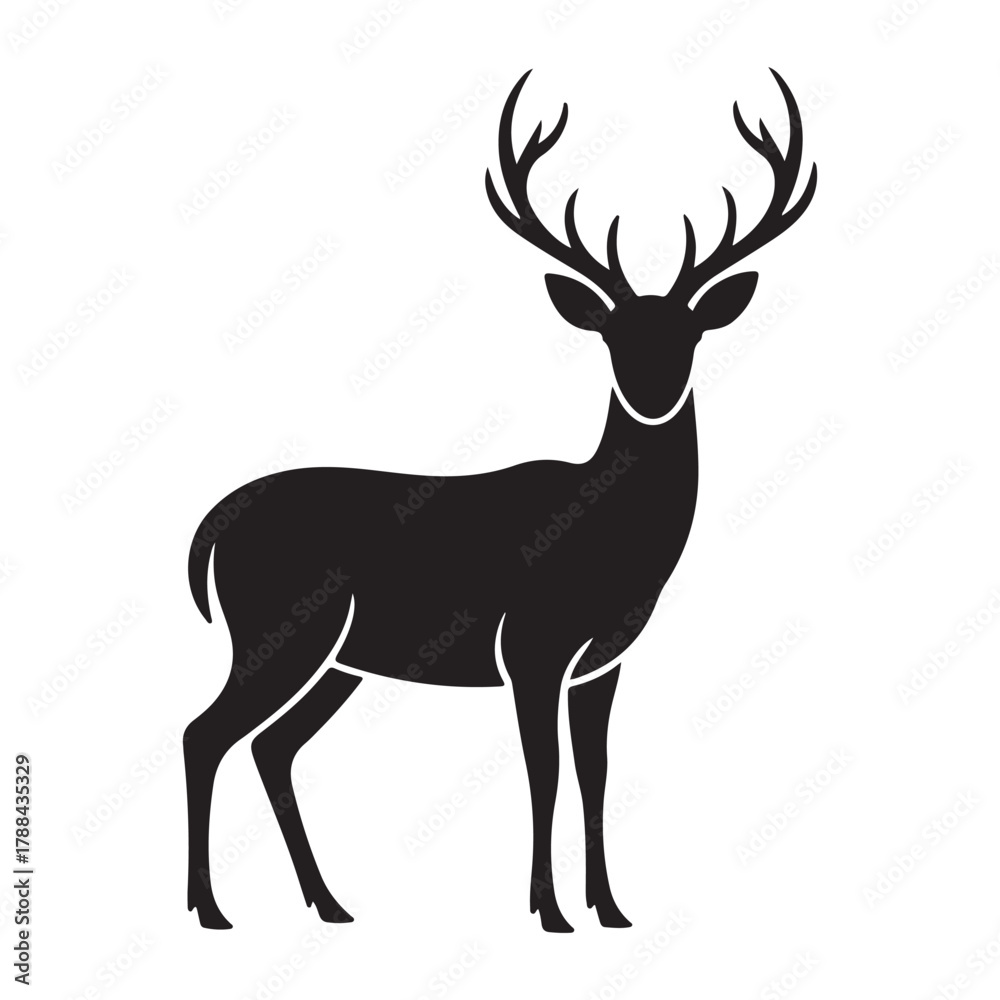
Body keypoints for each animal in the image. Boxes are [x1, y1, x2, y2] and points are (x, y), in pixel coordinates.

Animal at [184, 68, 816, 933]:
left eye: (688, 333)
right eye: (612, 334)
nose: (653, 395)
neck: (611, 541)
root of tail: (212, 528)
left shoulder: (603, 662)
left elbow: (595, 774)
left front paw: (610, 909)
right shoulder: (531, 646)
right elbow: (542, 774)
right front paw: (549, 912)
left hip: (338, 656)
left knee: (269, 746)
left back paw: (329, 903)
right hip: (277, 629)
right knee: (204, 734)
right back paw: (211, 910)